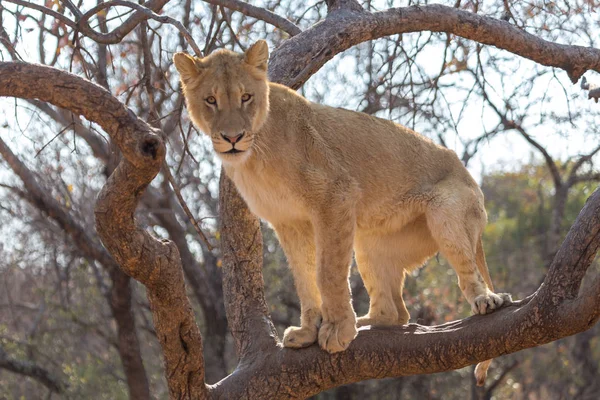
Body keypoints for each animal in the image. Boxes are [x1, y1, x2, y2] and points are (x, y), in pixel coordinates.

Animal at [172, 40, 510, 384]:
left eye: (245, 97)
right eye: (211, 100)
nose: (233, 138)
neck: (255, 155)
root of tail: (467, 173)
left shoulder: (335, 196)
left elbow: (327, 273)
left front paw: (336, 330)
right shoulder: (289, 221)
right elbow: (304, 278)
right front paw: (308, 331)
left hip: (447, 213)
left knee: (467, 272)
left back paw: (486, 300)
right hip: (369, 244)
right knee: (396, 313)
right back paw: (365, 322)